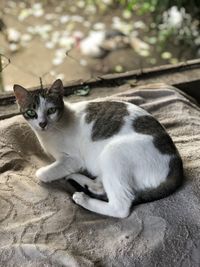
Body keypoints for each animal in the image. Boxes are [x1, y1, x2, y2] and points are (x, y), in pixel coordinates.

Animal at [13, 78, 184, 219]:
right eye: (31, 112)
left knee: (120, 206)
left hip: (113, 151)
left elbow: (42, 174)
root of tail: (176, 163)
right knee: (100, 186)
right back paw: (79, 179)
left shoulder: (73, 159)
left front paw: (46, 173)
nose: (42, 123)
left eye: (51, 110)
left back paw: (83, 199)